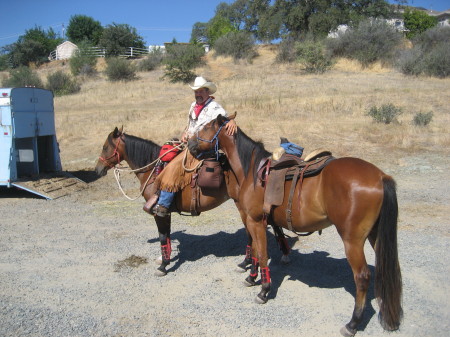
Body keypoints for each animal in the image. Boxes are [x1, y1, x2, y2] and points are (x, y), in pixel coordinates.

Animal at [188, 114, 402, 334]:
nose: (190, 144)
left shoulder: (255, 221)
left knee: (362, 277)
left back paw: (353, 323)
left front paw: (264, 291)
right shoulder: (255, 221)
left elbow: (262, 254)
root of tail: (381, 176)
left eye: (206, 126)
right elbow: (255, 250)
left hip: (352, 240)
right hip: (375, 235)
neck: (252, 173)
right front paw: (251, 278)